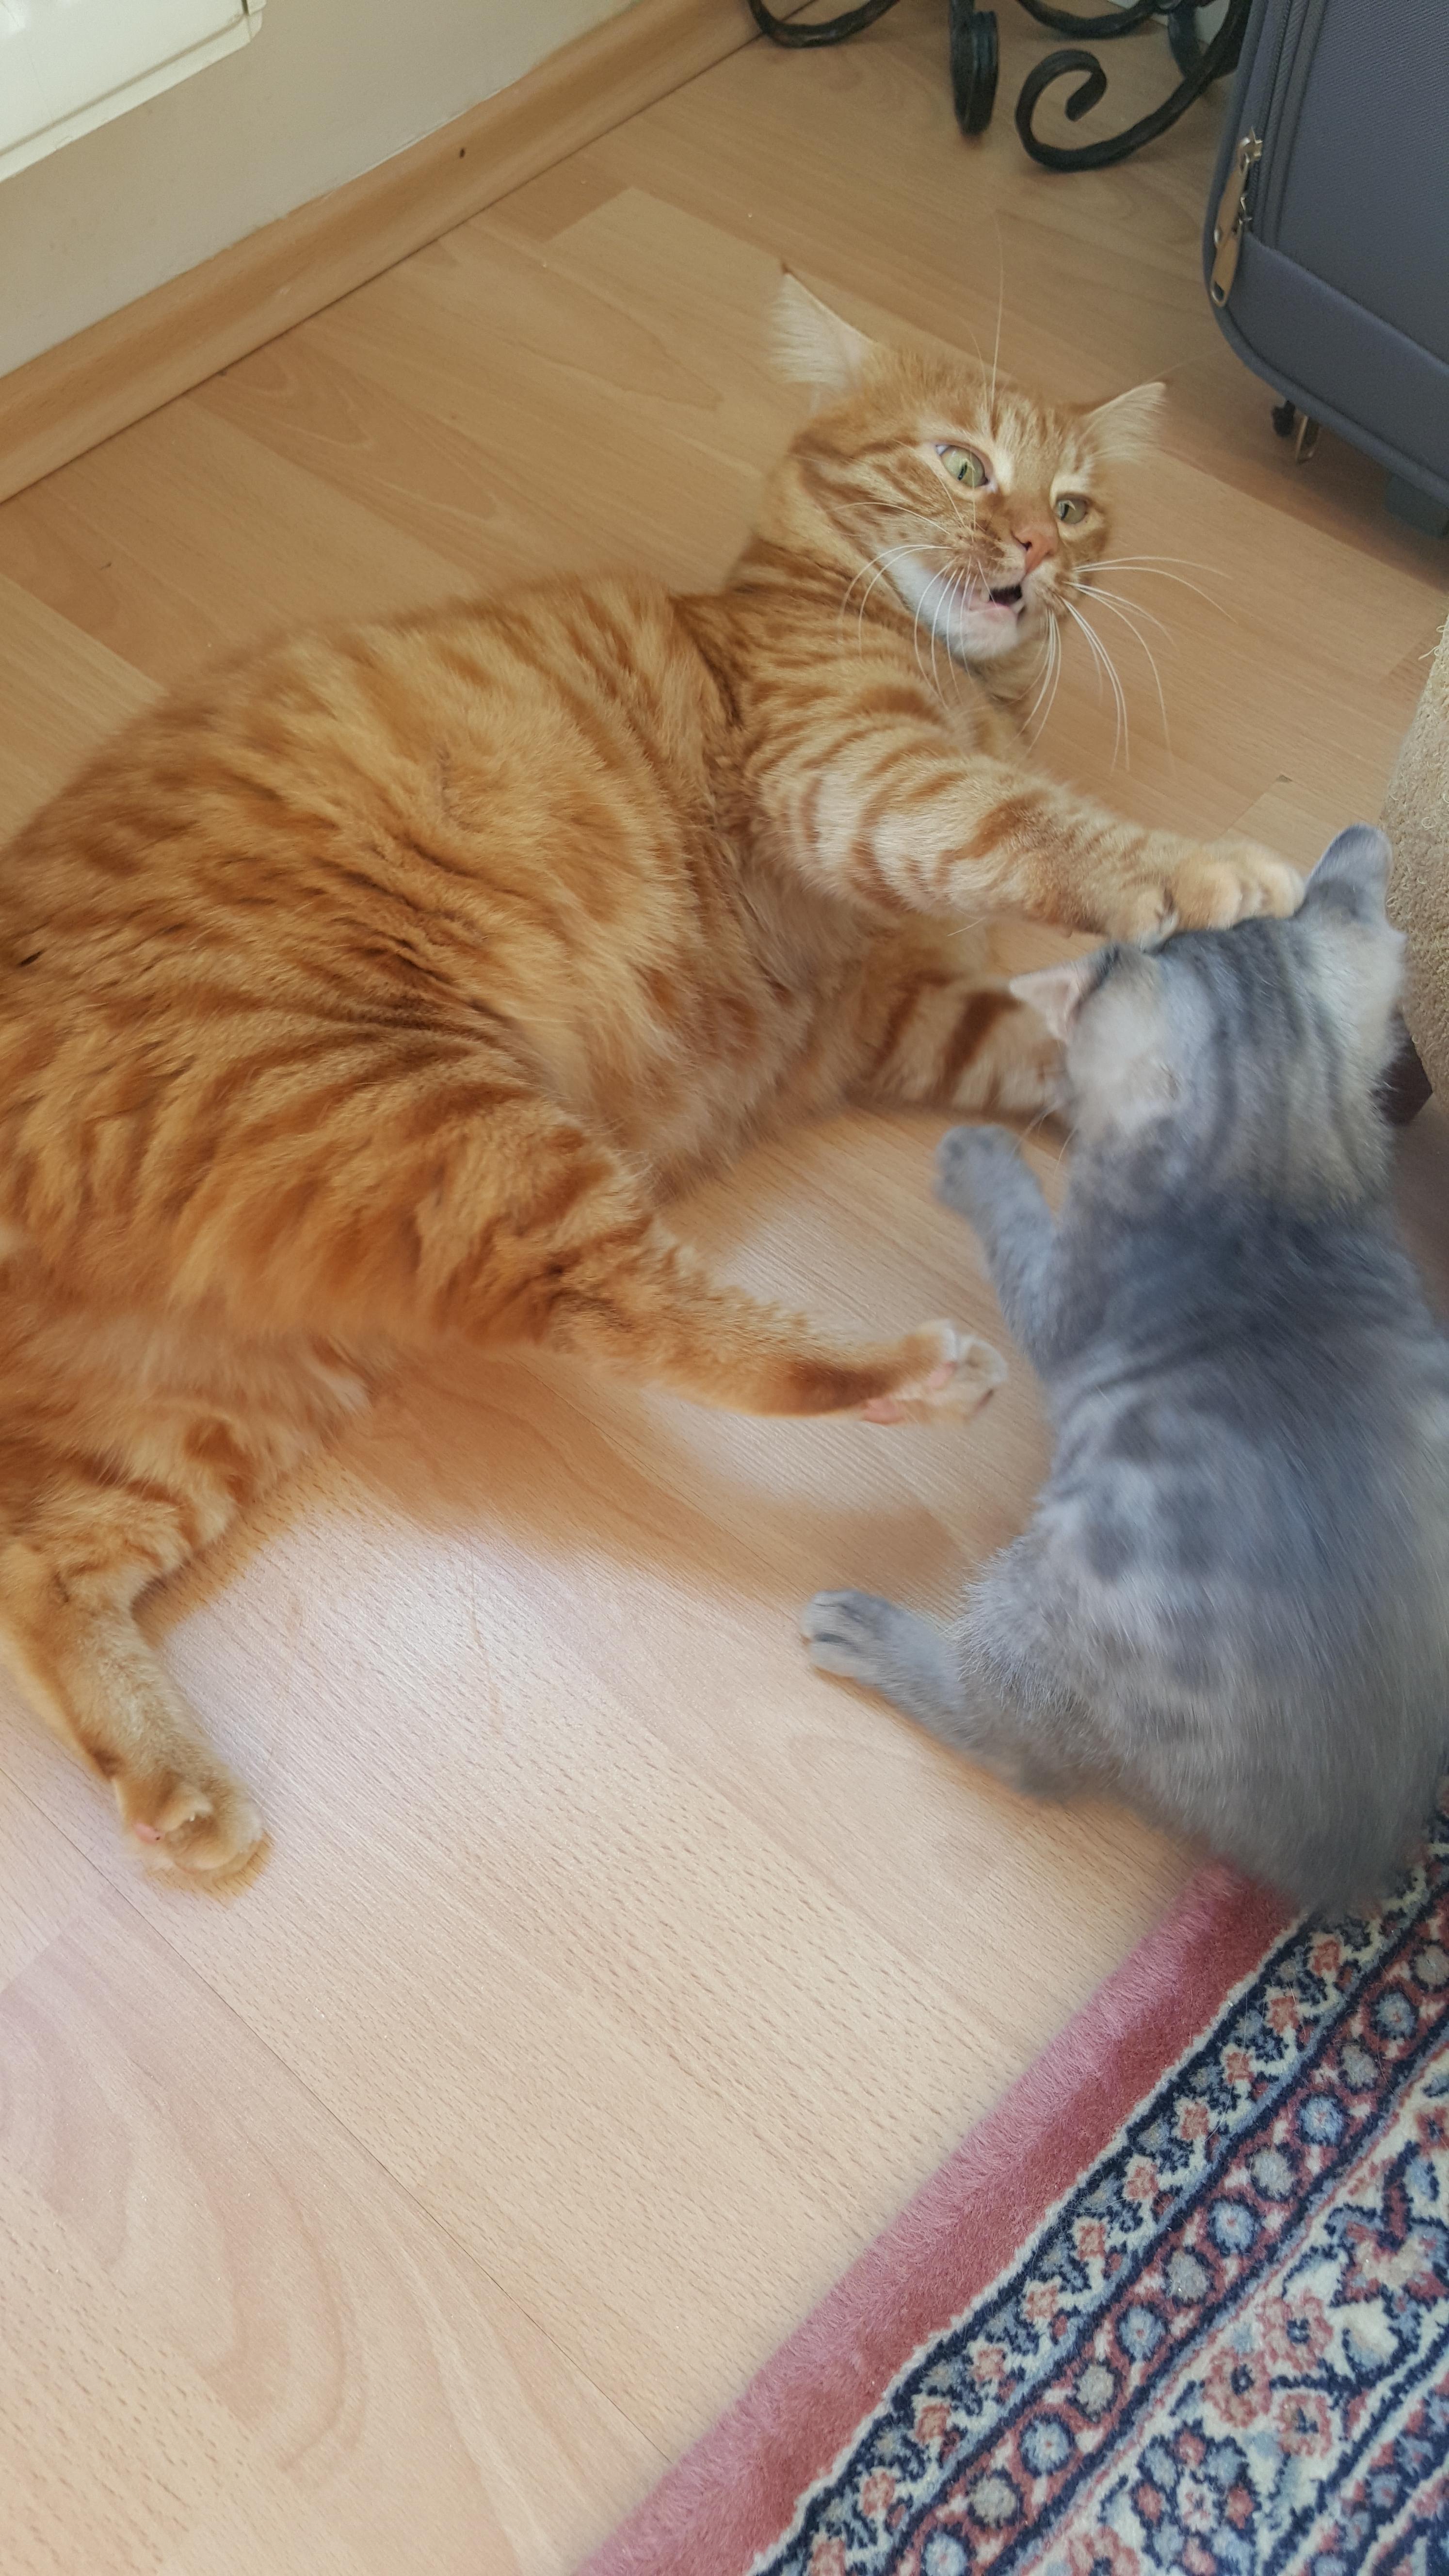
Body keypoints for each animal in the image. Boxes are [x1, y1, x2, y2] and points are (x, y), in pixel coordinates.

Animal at [0, 275, 1301, 1879]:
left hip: (236, 1376)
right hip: (447, 1133)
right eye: (964, 466)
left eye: (1073, 501)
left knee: (41, 1563)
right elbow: (1040, 825)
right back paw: (911, 1372)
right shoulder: (860, 782)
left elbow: (1072, 1043)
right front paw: (1200, 876)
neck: (954, 675)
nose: (1039, 556)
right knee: (645, 1315)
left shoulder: (901, 1014)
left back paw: (169, 1782)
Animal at [804, 827, 1449, 1917]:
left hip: (1038, 1596)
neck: (1276, 1185)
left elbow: (1022, 1234)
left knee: (1016, 1749)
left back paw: (870, 1635)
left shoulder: (1066, 1298)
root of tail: (1340, 1852)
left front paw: (983, 1160)